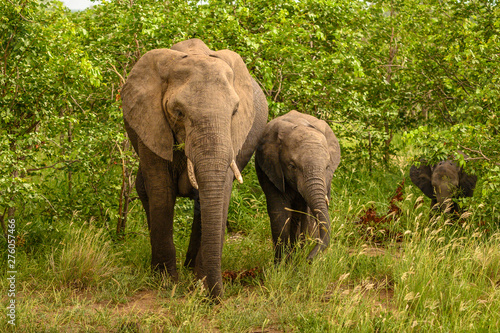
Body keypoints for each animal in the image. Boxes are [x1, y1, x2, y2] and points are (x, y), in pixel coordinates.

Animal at [120, 39, 270, 298]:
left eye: (235, 111)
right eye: (179, 112)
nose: (215, 297)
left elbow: (221, 193)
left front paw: (200, 283)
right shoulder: (150, 123)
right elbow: (161, 193)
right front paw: (166, 282)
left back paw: (192, 269)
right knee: (144, 189)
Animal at [256, 110, 342, 264]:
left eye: (327, 167)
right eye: (292, 166)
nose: (309, 259)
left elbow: (305, 214)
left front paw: (297, 261)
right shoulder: (270, 169)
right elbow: (279, 213)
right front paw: (280, 265)